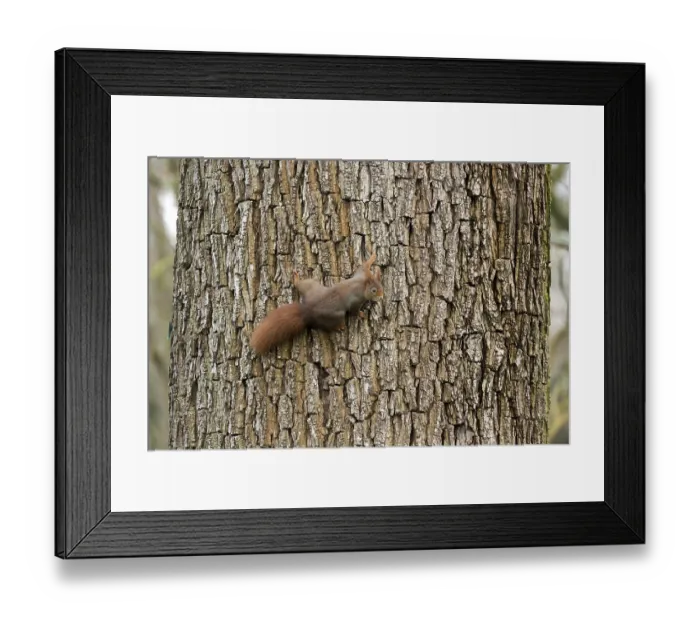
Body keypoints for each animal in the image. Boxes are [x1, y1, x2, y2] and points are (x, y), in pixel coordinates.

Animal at [250, 252, 384, 354]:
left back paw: (296, 279)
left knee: (300, 285)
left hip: (312, 286)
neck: (362, 285)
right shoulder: (356, 300)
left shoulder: (361, 274)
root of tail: (307, 310)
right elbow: (353, 311)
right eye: (374, 290)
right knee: (328, 326)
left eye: (381, 286)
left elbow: (363, 266)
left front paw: (372, 257)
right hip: (334, 315)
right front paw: (361, 314)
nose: (381, 296)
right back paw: (339, 326)